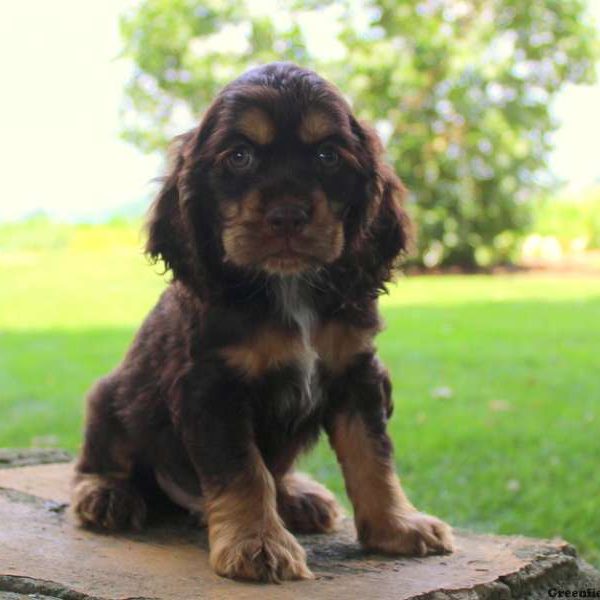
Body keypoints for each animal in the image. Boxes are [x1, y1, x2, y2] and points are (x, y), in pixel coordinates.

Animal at [72, 61, 452, 580]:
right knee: (100, 458)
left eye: (327, 155)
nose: (287, 216)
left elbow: (373, 456)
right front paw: (257, 545)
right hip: (110, 397)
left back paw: (298, 495)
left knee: (281, 472)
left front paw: (398, 527)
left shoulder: (357, 372)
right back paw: (106, 494)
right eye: (239, 156)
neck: (287, 286)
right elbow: (244, 471)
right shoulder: (212, 388)